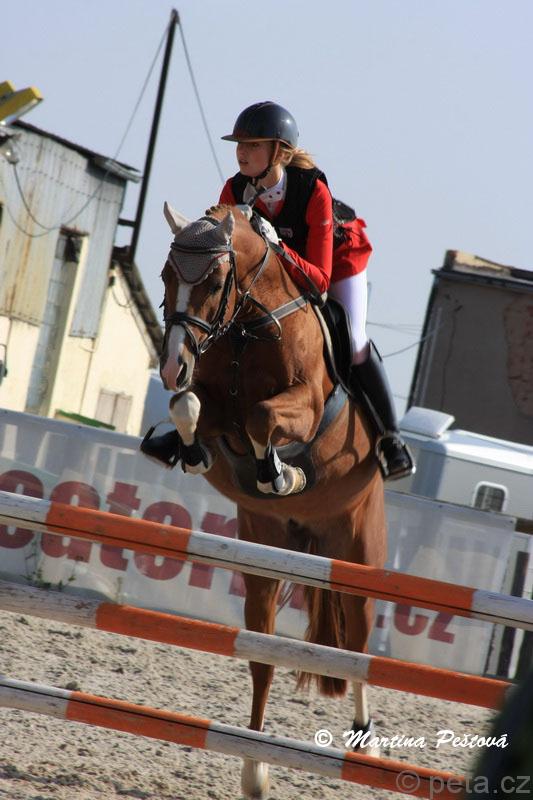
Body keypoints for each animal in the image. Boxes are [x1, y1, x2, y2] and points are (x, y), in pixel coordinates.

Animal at [153, 202, 387, 799]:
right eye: (165, 276)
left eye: (215, 281)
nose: (170, 364)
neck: (244, 328)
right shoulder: (212, 403)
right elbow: (188, 404)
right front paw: (192, 453)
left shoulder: (302, 406)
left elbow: (263, 417)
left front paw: (282, 474)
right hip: (263, 552)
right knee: (262, 656)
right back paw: (254, 771)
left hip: (357, 550)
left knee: (356, 644)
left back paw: (365, 740)